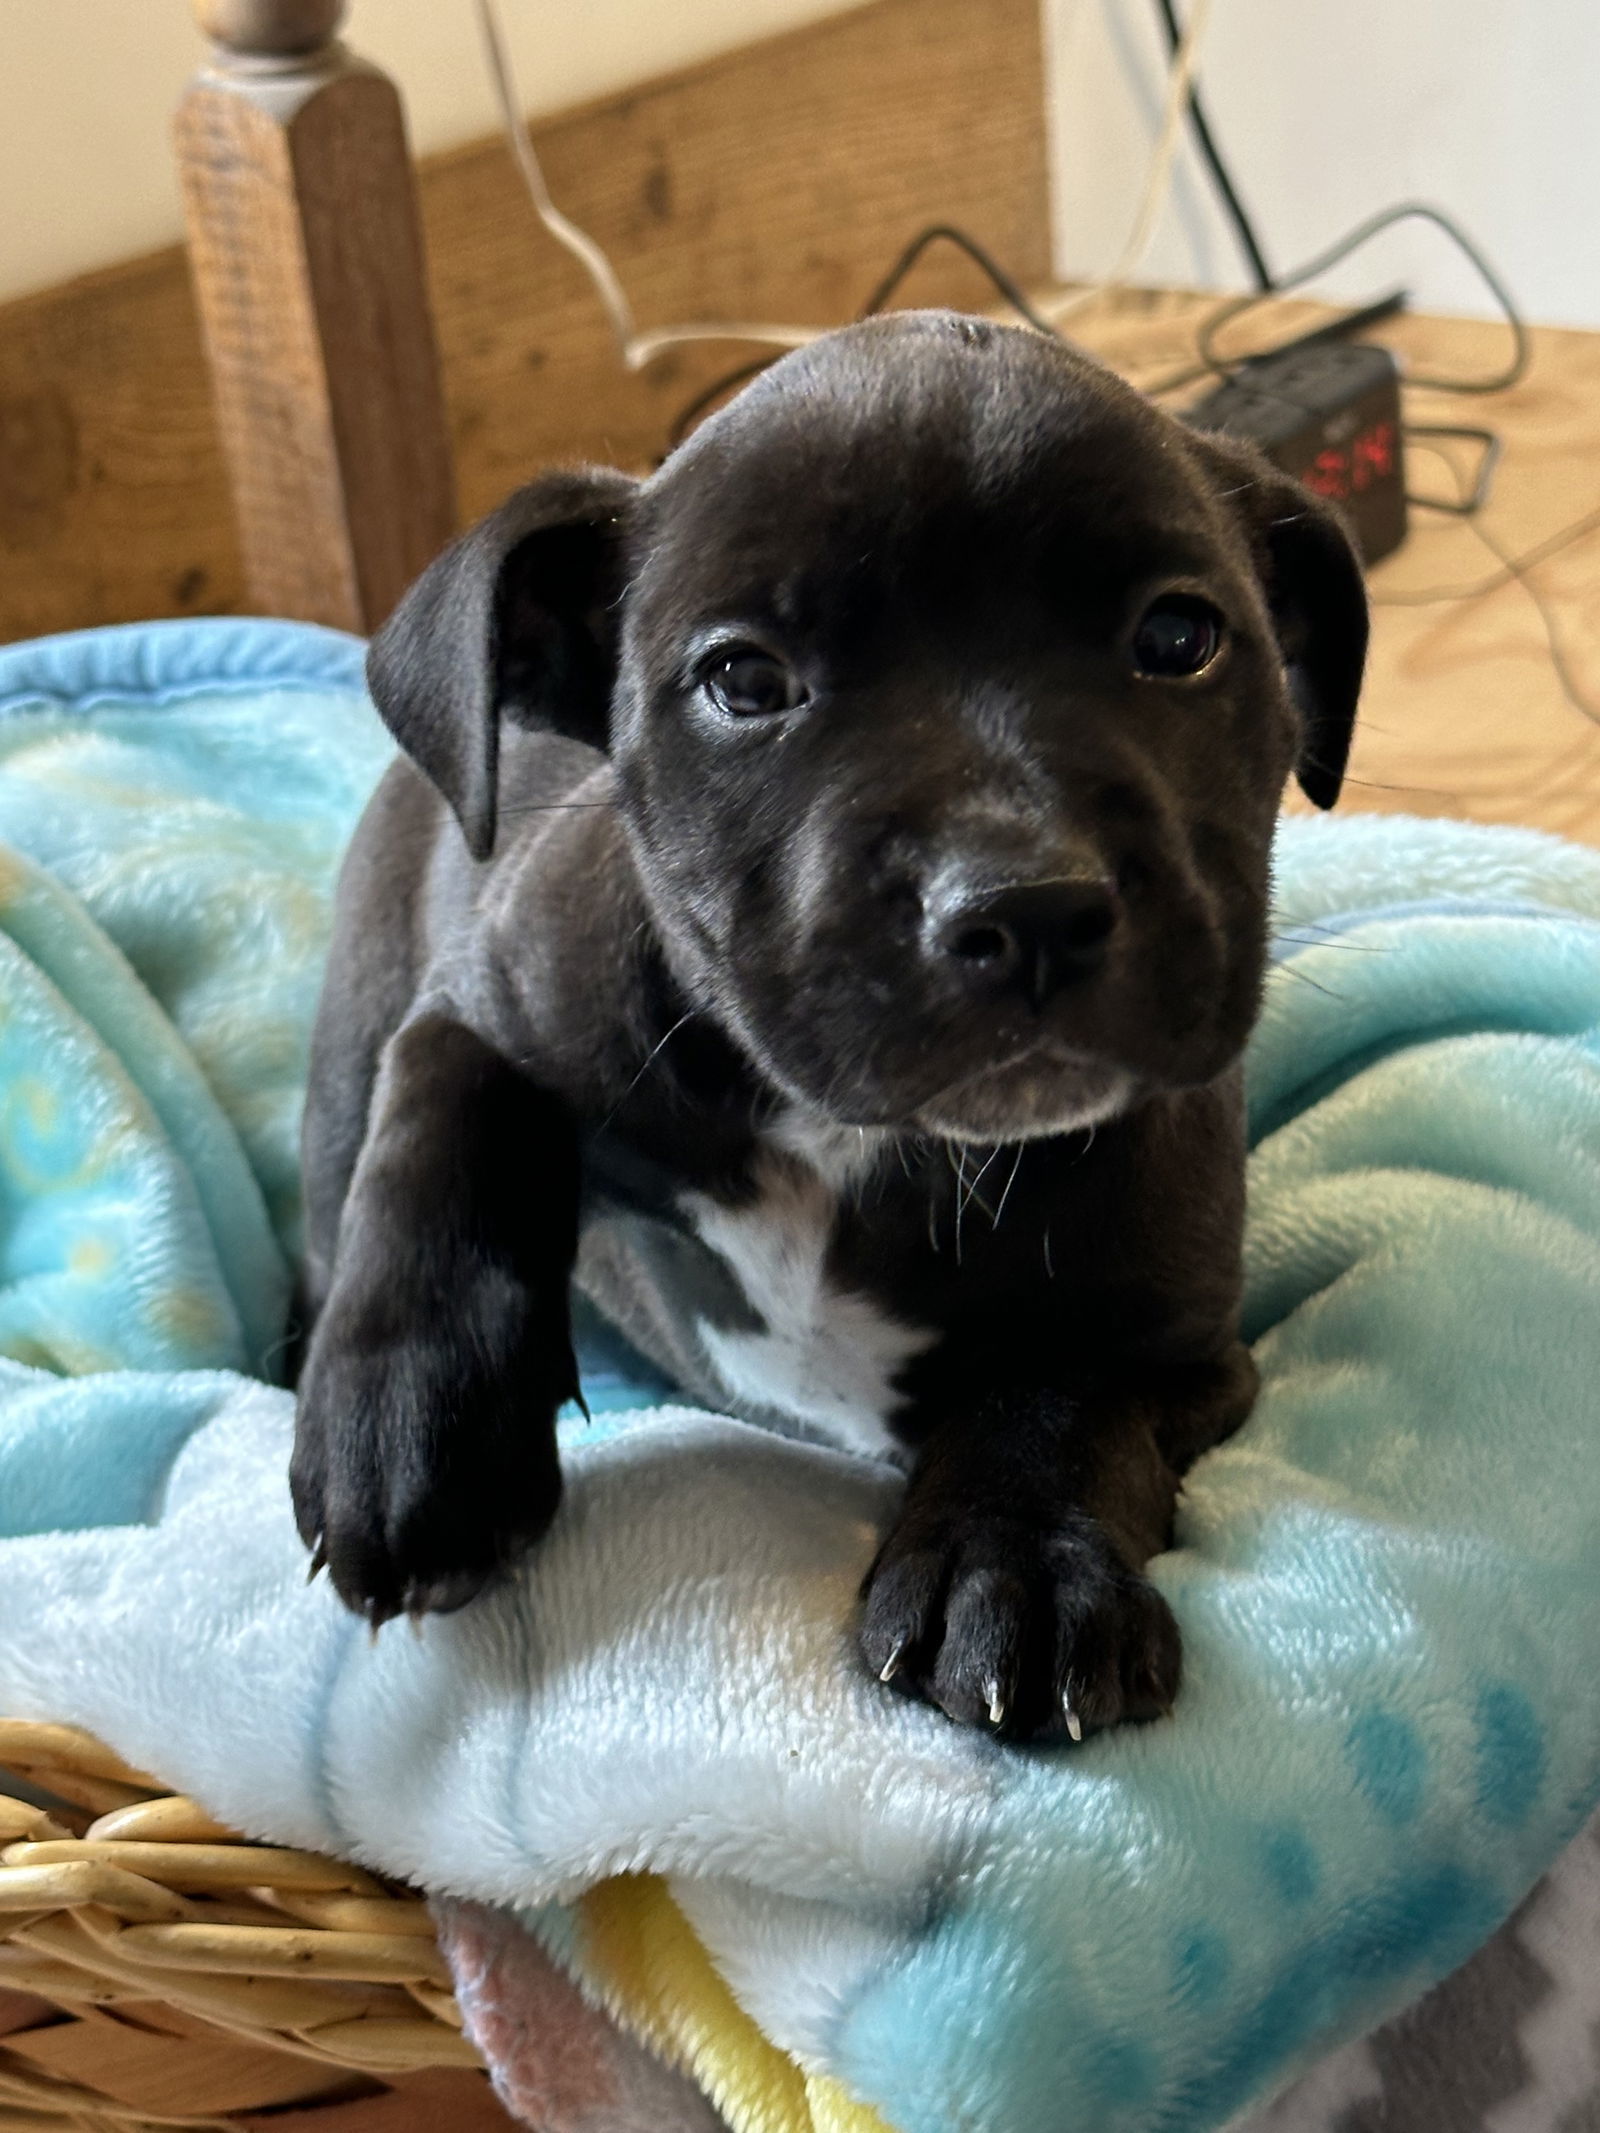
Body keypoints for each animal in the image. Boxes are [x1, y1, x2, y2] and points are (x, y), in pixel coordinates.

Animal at [294, 319, 1373, 1749]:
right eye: (743, 680)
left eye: (1180, 637)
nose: (1023, 904)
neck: (850, 1135)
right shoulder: (493, 986)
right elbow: (447, 1118)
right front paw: (419, 1434)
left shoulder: (1172, 1343)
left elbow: (1063, 1391)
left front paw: (1013, 1561)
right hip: (353, 1021)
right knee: (344, 1186)